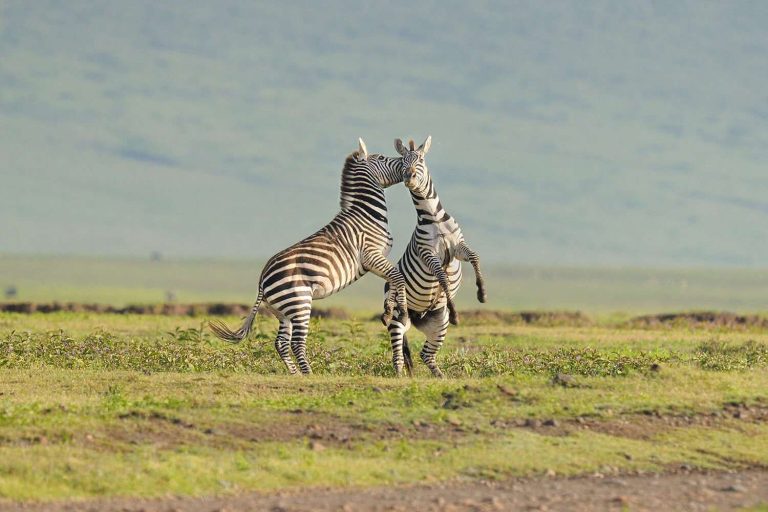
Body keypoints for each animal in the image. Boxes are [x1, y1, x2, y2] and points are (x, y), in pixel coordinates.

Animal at [207, 138, 412, 374]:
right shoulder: (371, 255)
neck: (366, 214)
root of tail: (262, 280)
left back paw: (296, 375)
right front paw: (402, 312)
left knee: (281, 343)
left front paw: (388, 310)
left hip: (283, 311)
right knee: (296, 342)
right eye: (382, 158)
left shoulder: (376, 260)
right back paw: (309, 375)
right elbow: (398, 277)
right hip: (299, 302)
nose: (406, 168)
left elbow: (393, 280)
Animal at [384, 136, 486, 376]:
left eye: (420, 160)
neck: (434, 218)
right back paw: (400, 376)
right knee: (397, 355)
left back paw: (441, 377)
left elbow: (475, 257)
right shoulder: (428, 254)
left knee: (425, 355)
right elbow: (442, 278)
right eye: (402, 161)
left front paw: (482, 292)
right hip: (397, 319)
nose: (408, 177)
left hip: (439, 323)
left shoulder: (458, 247)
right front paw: (456, 310)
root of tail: (415, 317)